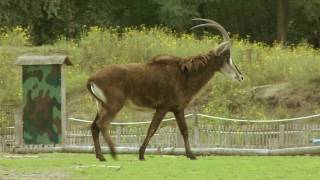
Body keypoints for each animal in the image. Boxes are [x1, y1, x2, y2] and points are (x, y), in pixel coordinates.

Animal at [87, 18, 242, 162]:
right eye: (227, 56)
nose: (240, 76)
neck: (185, 74)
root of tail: (92, 78)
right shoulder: (165, 108)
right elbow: (154, 129)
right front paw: (142, 154)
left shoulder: (176, 109)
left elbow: (183, 131)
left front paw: (189, 154)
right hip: (113, 106)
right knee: (102, 124)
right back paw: (113, 153)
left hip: (101, 106)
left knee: (94, 126)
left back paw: (100, 156)